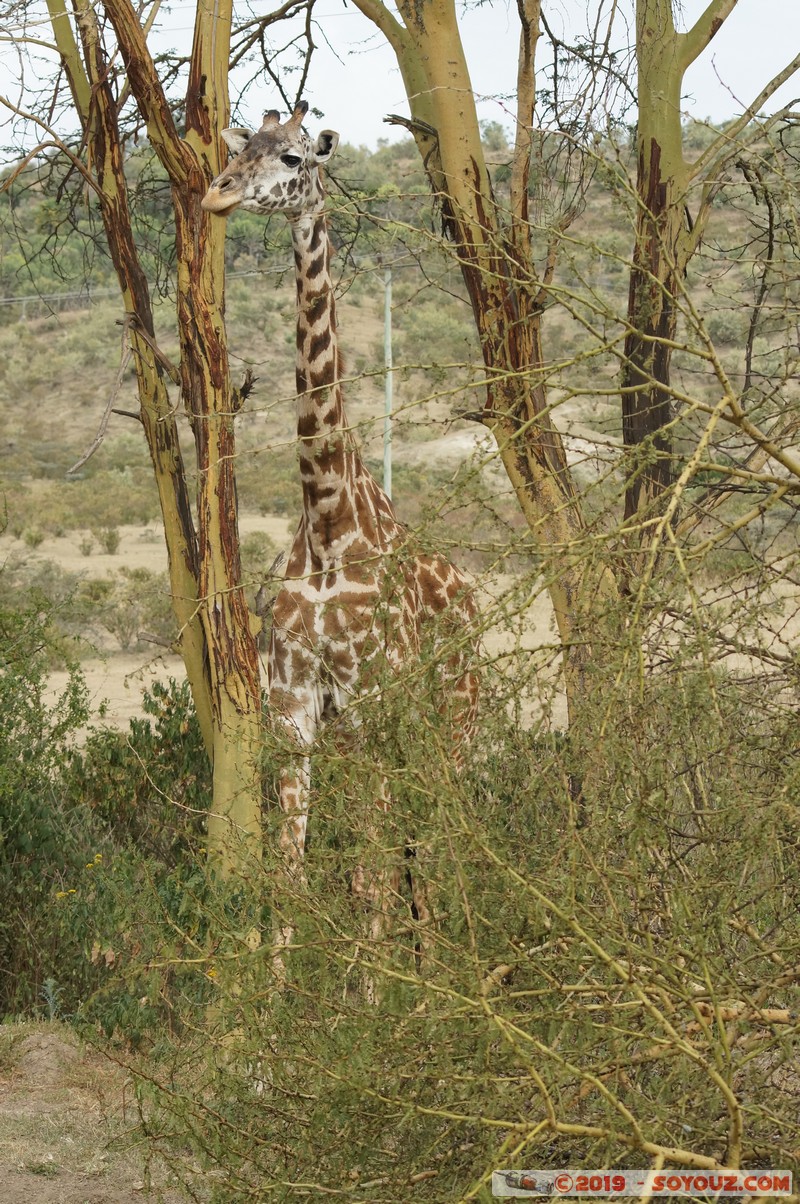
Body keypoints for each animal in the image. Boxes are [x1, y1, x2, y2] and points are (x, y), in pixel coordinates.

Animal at [202, 102, 479, 977]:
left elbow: (367, 883)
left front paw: (376, 1005)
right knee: (413, 855)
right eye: (239, 147)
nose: (218, 195)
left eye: (293, 156)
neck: (327, 522)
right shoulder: (295, 711)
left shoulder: (367, 706)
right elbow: (294, 879)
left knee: (440, 847)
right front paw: (273, 1017)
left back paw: (452, 987)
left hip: (451, 722)